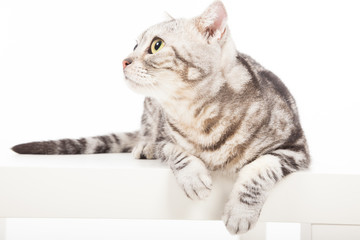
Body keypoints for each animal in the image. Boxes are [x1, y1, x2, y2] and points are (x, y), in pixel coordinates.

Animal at [11, 0, 310, 235]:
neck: (196, 115)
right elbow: (177, 153)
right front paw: (194, 178)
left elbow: (259, 169)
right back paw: (143, 146)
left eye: (156, 45)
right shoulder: (165, 138)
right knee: (146, 131)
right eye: (135, 44)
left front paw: (240, 213)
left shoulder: (295, 147)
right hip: (148, 107)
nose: (124, 60)